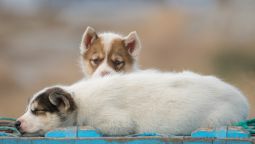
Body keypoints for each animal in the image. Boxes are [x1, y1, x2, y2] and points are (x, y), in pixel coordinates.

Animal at [15, 70, 249, 136]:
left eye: (37, 111)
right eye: (28, 109)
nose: (17, 124)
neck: (80, 102)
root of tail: (242, 99)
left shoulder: (117, 123)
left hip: (217, 119)